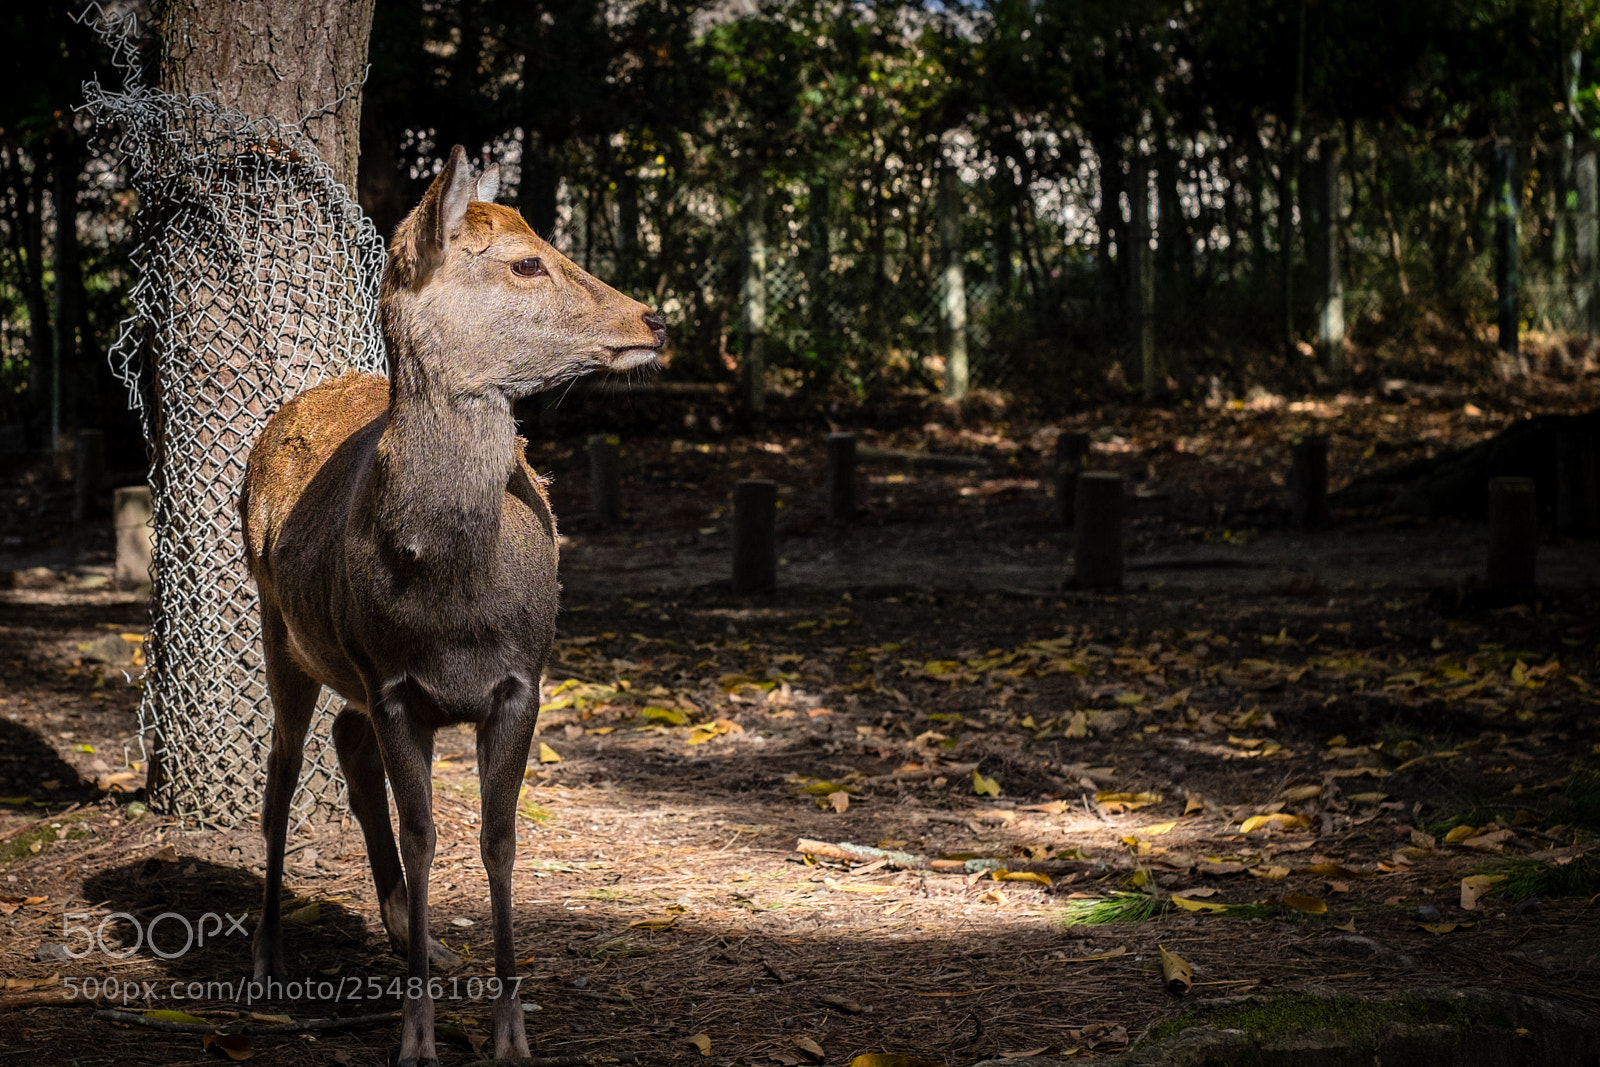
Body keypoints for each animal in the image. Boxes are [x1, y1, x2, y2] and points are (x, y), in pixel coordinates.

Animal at [239, 145, 665, 1066]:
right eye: (526, 262)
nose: (655, 319)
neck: (457, 609)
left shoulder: (520, 681)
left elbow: (498, 841)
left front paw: (509, 1029)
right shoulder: (398, 685)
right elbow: (425, 836)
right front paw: (416, 1036)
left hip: (346, 667)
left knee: (345, 737)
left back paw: (418, 936)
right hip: (280, 626)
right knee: (283, 767)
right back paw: (267, 954)